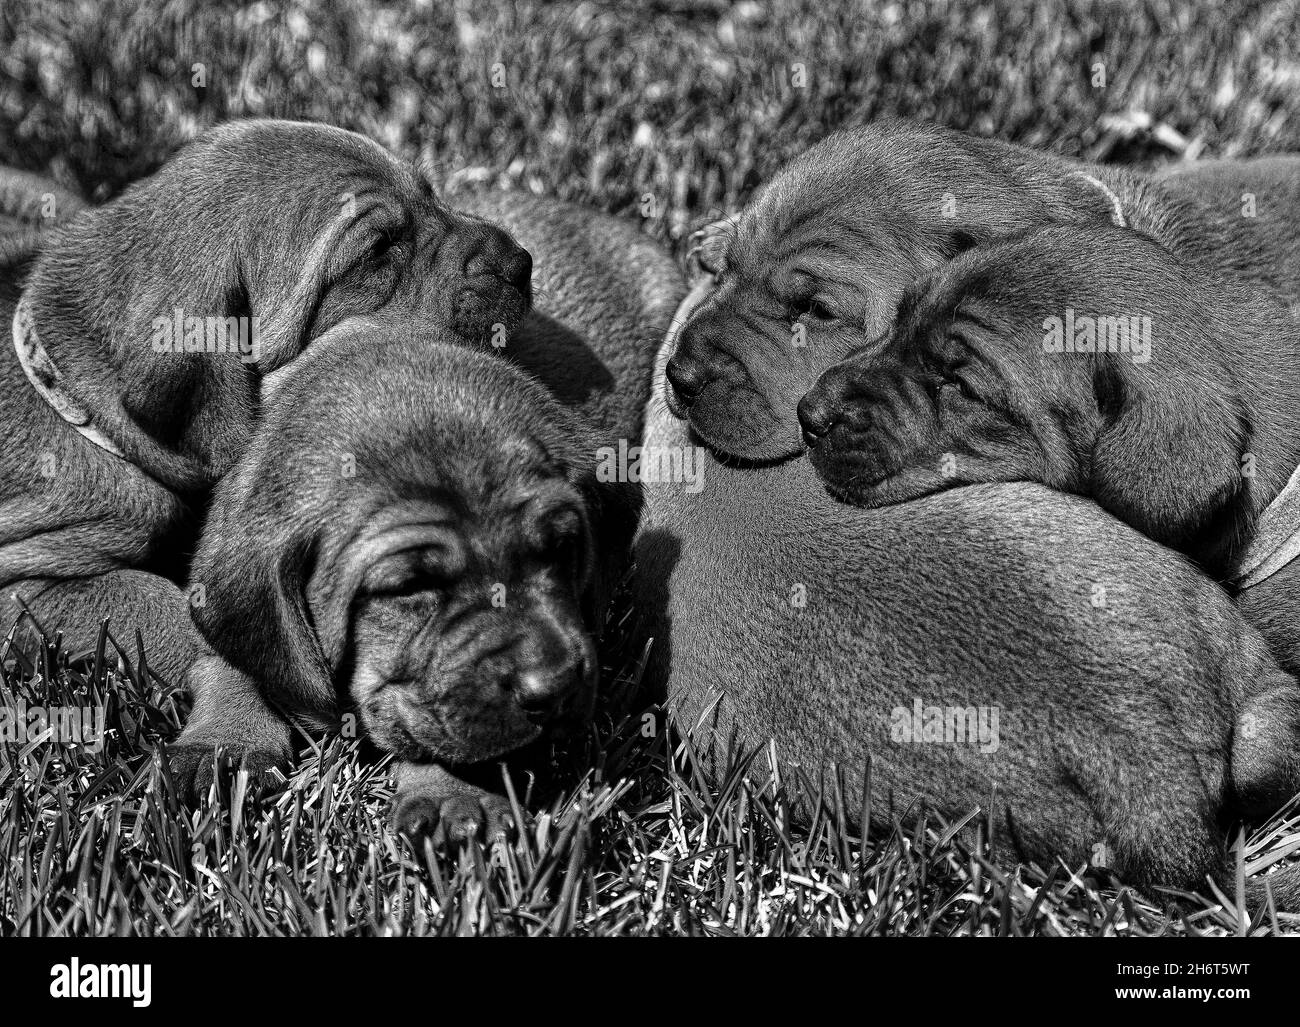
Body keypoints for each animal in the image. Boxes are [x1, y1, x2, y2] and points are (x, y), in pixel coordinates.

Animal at [1, 120, 527, 681]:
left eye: (431, 195)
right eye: (377, 250)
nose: (522, 264)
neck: (69, 396)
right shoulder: (24, 588)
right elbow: (165, 610)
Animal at [169, 327, 629, 842]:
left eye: (561, 548)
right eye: (409, 587)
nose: (555, 689)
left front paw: (454, 792)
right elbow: (232, 657)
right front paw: (224, 741)